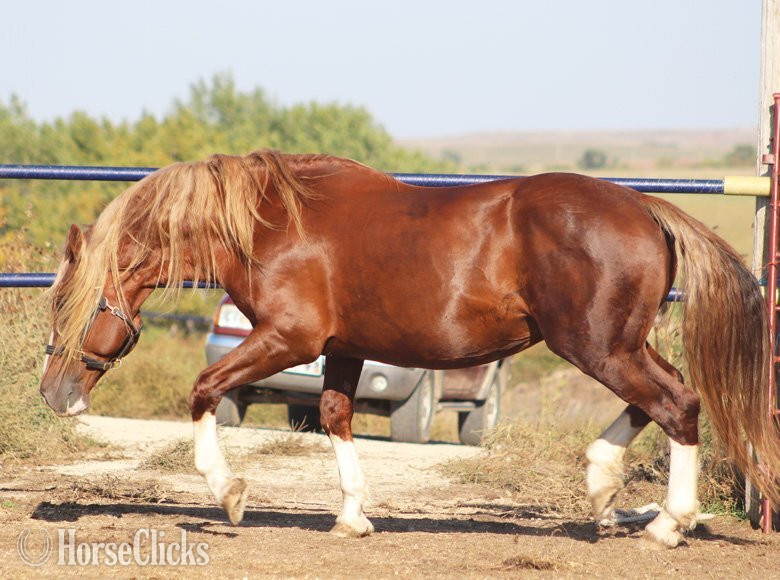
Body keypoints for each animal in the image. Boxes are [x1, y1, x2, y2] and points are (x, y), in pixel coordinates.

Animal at [39, 149, 779, 548]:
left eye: (65, 305)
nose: (53, 393)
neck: (270, 224)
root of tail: (646, 208)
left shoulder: (288, 338)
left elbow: (203, 390)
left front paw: (231, 494)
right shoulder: (340, 348)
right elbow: (335, 416)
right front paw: (352, 517)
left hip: (595, 344)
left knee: (677, 403)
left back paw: (665, 524)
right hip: (615, 342)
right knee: (665, 398)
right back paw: (604, 486)